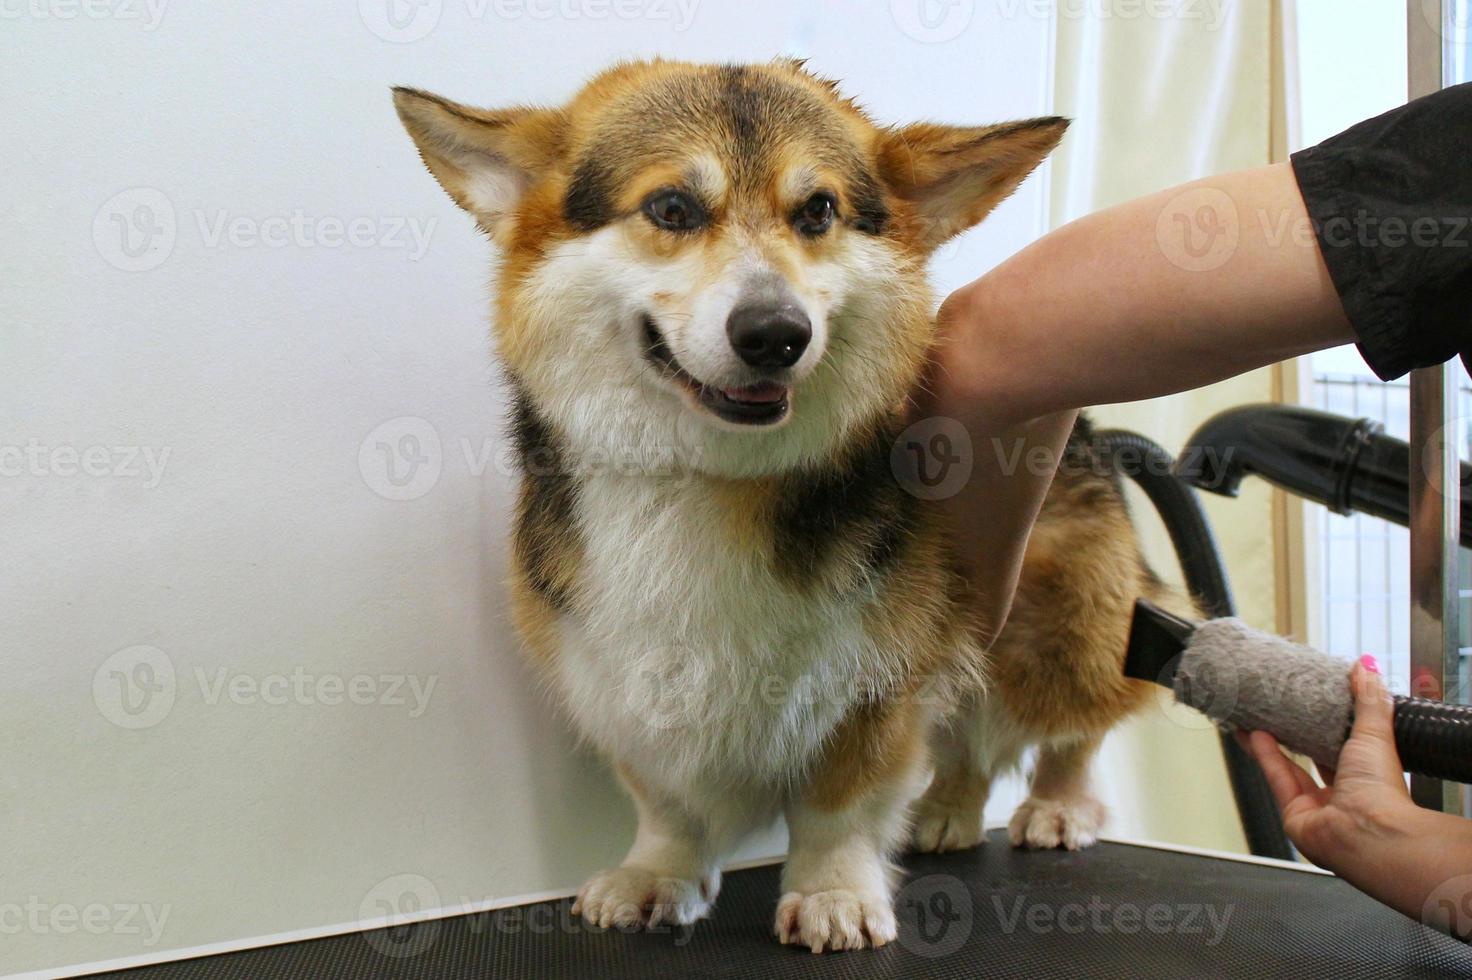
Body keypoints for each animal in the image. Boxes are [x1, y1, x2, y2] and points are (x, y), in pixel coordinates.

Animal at [394, 59, 1171, 947]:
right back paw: (947, 811)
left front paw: (834, 896)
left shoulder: (881, 672)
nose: (775, 334)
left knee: (1074, 721)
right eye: (672, 208)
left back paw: (1058, 806)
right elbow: (665, 803)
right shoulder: (619, 674)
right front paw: (655, 875)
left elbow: (841, 802)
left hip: (1061, 625)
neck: (707, 477)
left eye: (818, 211)